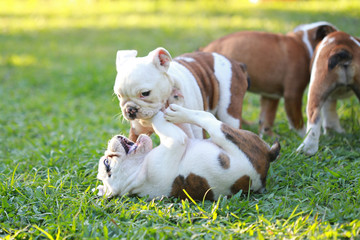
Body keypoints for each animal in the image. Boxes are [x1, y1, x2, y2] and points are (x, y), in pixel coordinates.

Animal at [94, 104, 280, 200]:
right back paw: (178, 112)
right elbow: (161, 122)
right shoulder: (176, 140)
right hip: (225, 134)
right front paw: (152, 114)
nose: (107, 152)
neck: (137, 171)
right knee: (207, 118)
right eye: (107, 163)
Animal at [114, 47, 249, 141]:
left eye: (145, 93)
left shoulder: (196, 130)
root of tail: (237, 64)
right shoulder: (137, 132)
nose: (130, 109)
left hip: (229, 113)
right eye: (119, 96)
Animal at [200, 21, 338, 138]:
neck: (304, 44)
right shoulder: (293, 95)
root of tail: (204, 49)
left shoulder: (271, 97)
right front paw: (303, 135)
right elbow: (297, 121)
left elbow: (267, 118)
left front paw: (269, 136)